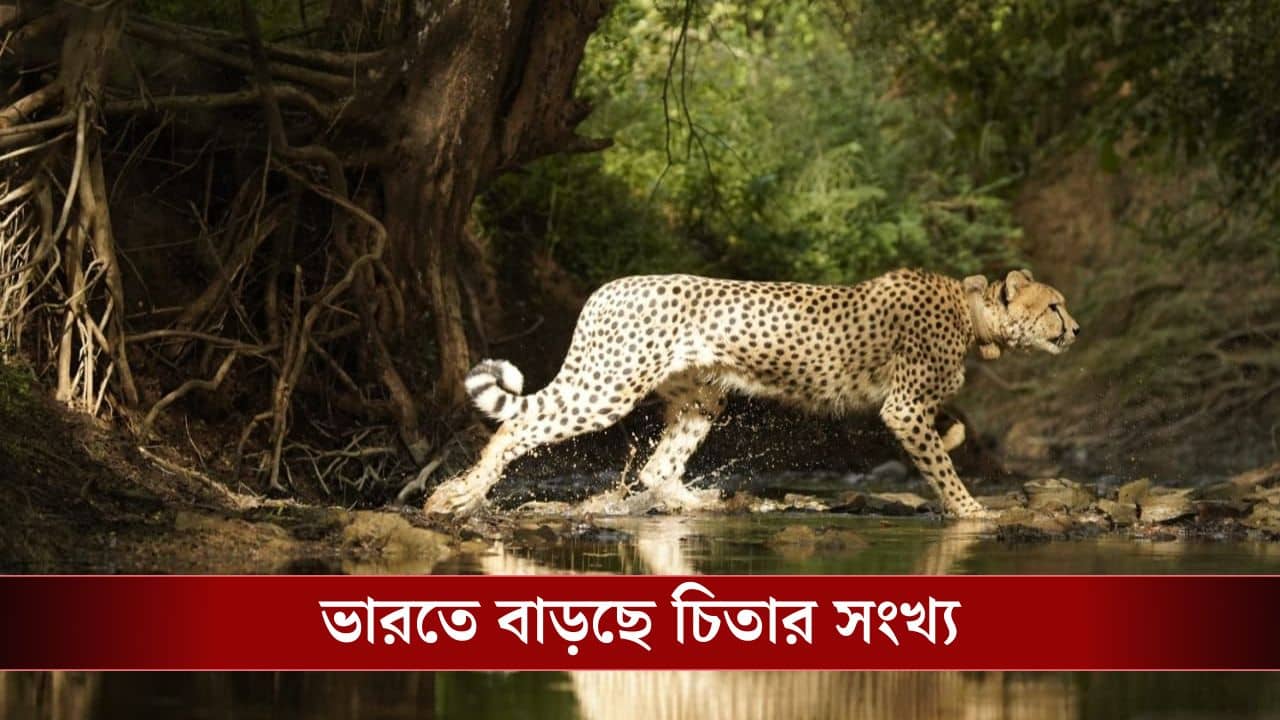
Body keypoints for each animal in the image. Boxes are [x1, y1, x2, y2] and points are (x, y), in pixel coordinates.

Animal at [425, 268, 1079, 519]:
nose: (1075, 329)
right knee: (516, 427)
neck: (975, 317)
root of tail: (608, 287)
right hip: (609, 385)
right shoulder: (903, 406)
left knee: (658, 469)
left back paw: (703, 502)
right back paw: (456, 495)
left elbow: (950, 436)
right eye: (1054, 305)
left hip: (700, 398)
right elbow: (941, 467)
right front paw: (972, 510)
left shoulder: (911, 407)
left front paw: (961, 451)